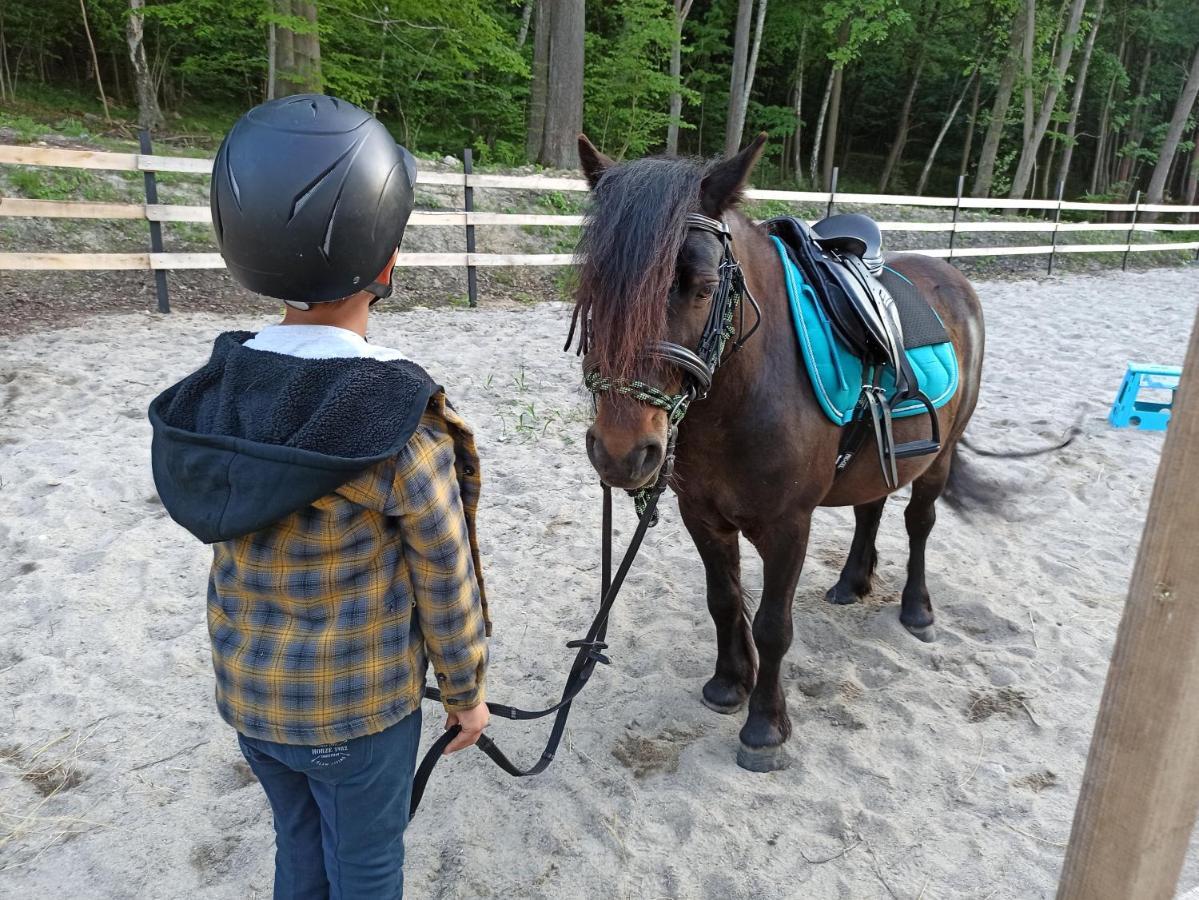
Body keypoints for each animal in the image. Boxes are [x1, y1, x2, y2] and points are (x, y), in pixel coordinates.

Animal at [570, 135, 983, 776]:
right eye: (591, 286)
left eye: (704, 287)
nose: (620, 451)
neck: (744, 394)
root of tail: (949, 277)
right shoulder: (702, 515)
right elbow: (723, 601)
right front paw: (728, 684)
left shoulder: (789, 526)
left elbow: (772, 625)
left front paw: (764, 726)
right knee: (871, 508)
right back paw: (851, 583)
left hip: (938, 459)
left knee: (919, 523)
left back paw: (917, 611)